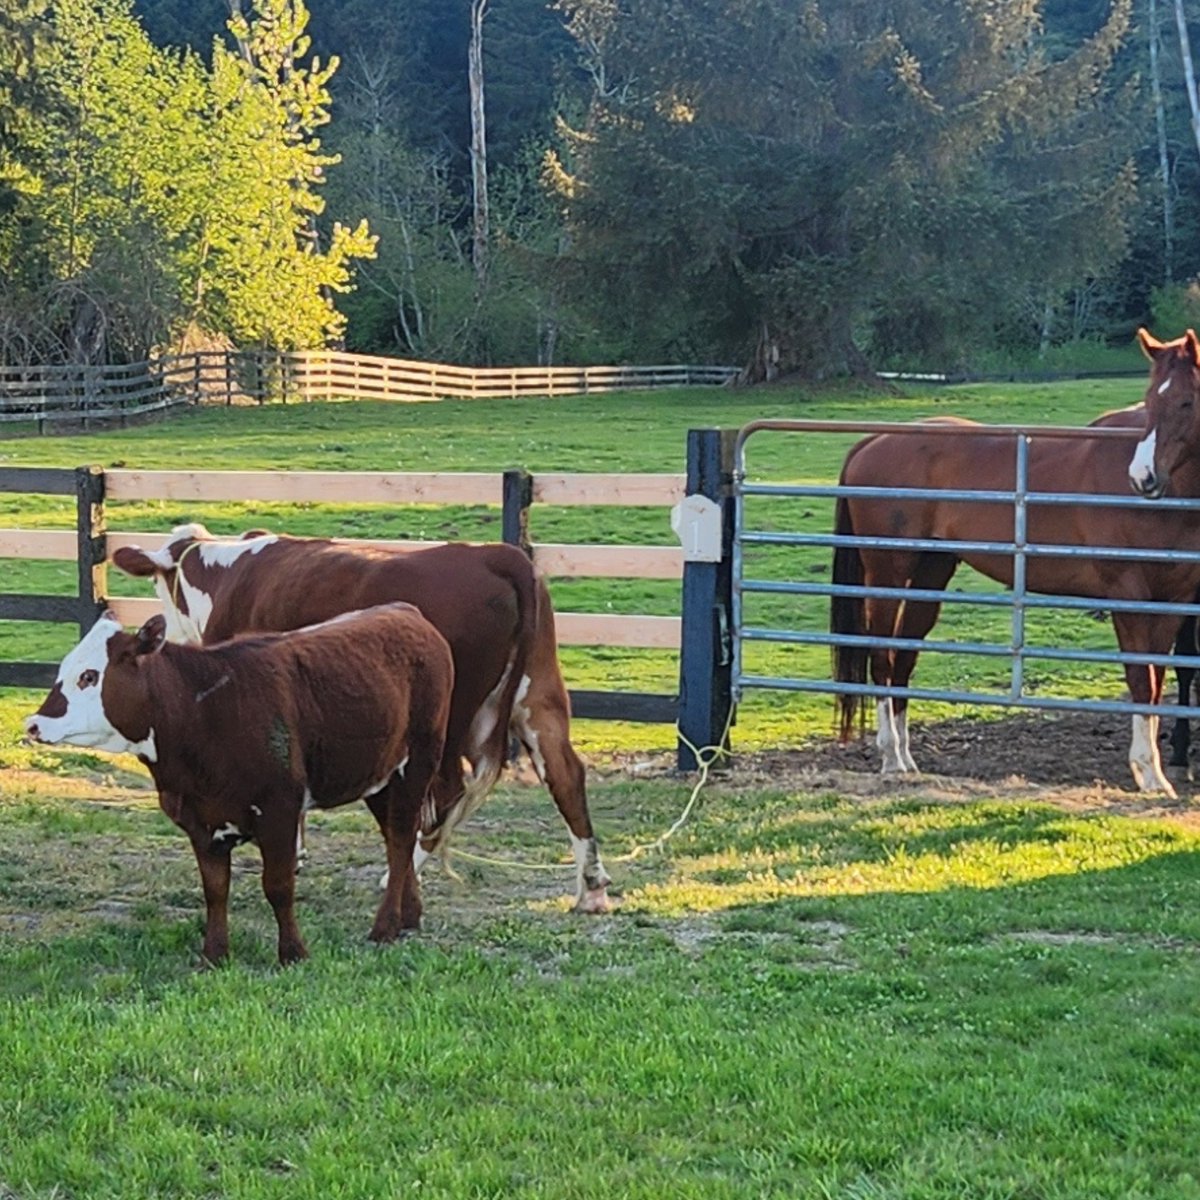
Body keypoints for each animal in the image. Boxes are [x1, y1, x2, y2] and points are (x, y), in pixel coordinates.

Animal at [23, 600, 453, 964]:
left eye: (89, 676)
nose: (34, 724)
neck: (203, 710)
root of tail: (407, 612)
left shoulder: (279, 810)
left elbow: (277, 886)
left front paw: (293, 953)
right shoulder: (199, 820)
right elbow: (215, 889)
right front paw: (215, 954)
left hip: (419, 761)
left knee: (402, 839)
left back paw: (385, 926)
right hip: (379, 777)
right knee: (396, 838)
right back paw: (408, 915)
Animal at [112, 523, 614, 907]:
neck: (230, 574)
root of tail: (496, 556)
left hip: (450, 719)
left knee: (446, 791)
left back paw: (402, 872)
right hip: (539, 698)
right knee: (565, 774)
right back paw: (591, 886)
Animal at [830, 328, 1200, 796]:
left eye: (1186, 402)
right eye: (1151, 400)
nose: (1143, 477)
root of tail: (871, 441)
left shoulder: (1173, 601)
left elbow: (1156, 682)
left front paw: (1153, 771)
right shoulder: (1127, 596)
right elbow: (1140, 679)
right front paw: (1148, 774)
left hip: (931, 573)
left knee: (904, 659)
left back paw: (909, 760)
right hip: (888, 573)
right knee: (882, 656)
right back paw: (891, 758)